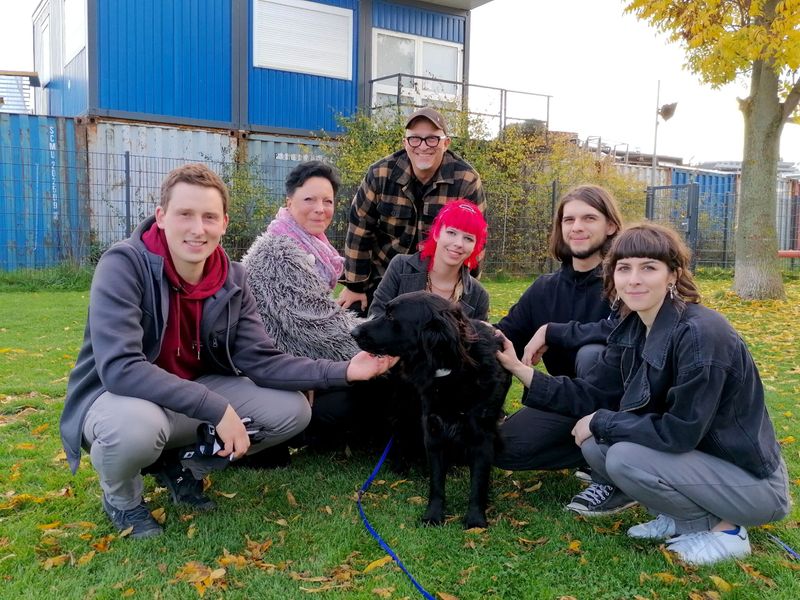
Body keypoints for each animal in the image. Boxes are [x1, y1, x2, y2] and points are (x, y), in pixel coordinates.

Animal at [352, 290, 512, 528]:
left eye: (391, 316)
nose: (352, 332)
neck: (449, 369)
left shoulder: (482, 435)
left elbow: (478, 482)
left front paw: (475, 520)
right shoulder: (433, 431)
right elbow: (436, 482)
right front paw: (433, 515)